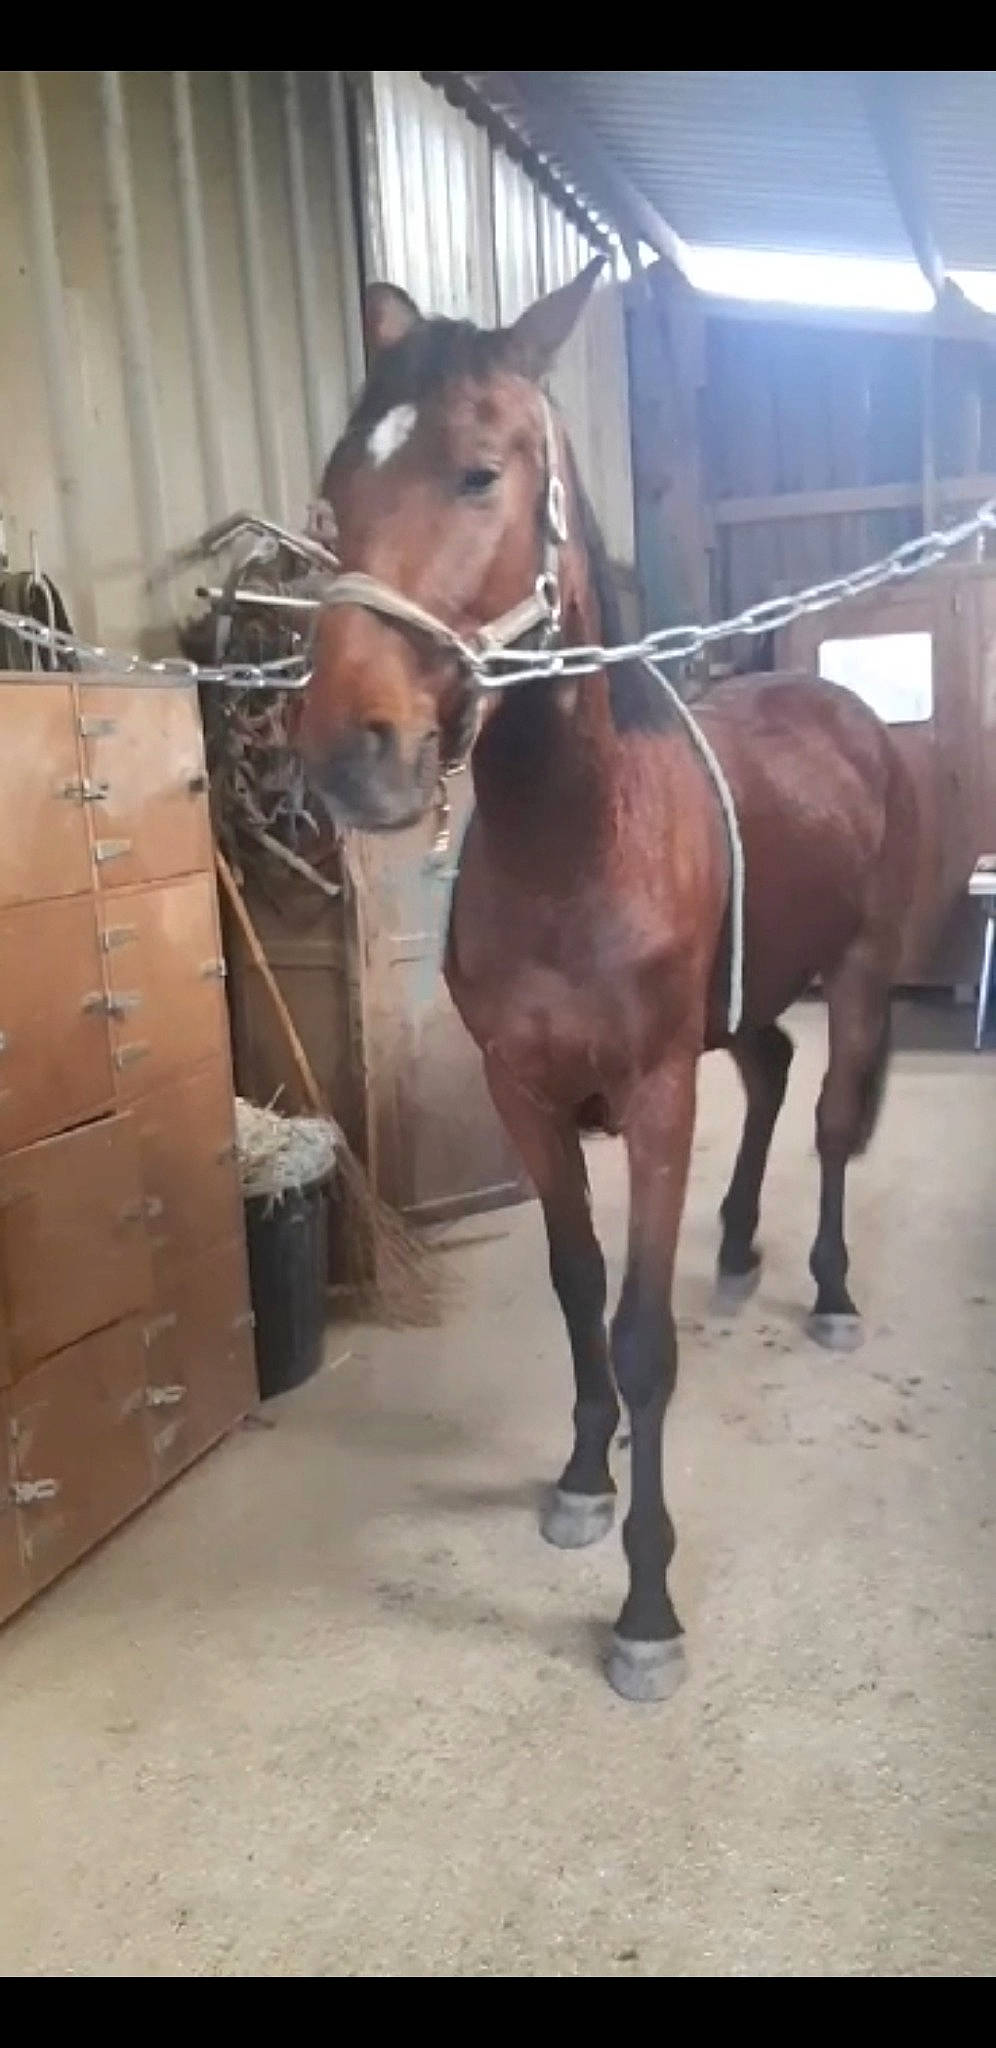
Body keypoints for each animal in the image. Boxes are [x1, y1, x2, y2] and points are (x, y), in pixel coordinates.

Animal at [295, 259, 917, 1701]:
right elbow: (578, 1289)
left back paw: (827, 1290)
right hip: (749, 1002)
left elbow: (640, 1336)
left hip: (859, 973)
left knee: (831, 1120)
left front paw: (646, 1607)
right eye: (337, 486)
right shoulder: (528, 1097)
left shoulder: (653, 1100)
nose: (353, 754)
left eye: (479, 472)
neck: (579, 836)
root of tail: (847, 712)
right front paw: (585, 1476)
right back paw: (738, 1250)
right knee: (774, 1070)